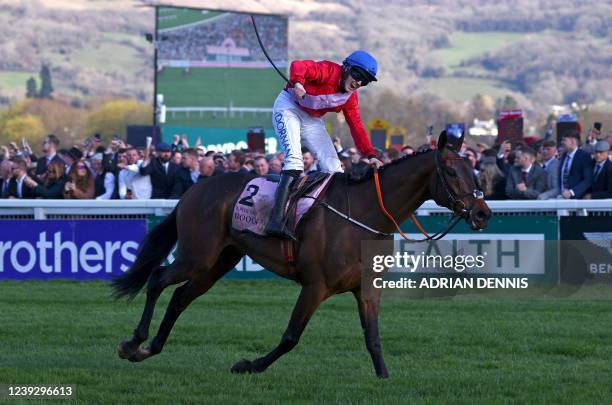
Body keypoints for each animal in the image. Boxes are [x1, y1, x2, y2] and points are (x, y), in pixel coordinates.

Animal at [112, 131, 490, 378]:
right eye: (452, 172)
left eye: (473, 170)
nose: (483, 213)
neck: (366, 216)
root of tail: (196, 188)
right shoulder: (315, 285)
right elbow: (291, 336)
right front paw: (248, 365)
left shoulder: (368, 289)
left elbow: (373, 339)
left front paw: (384, 378)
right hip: (197, 255)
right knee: (158, 279)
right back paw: (134, 342)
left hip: (219, 261)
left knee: (179, 297)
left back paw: (149, 348)